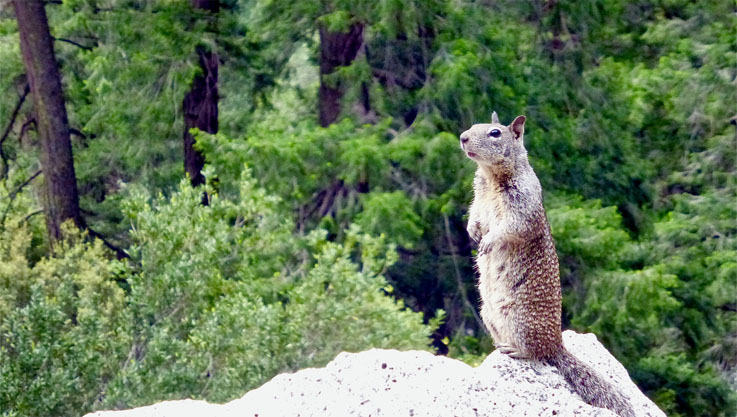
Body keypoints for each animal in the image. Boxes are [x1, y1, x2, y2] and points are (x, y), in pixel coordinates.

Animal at [460, 111, 632, 416]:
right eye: (472, 126)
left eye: (495, 133)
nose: (462, 137)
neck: (491, 178)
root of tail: (557, 345)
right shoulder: (478, 199)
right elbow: (475, 215)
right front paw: (473, 232)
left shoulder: (522, 206)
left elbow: (511, 227)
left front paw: (489, 241)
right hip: (488, 314)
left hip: (521, 321)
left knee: (536, 354)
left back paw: (516, 350)